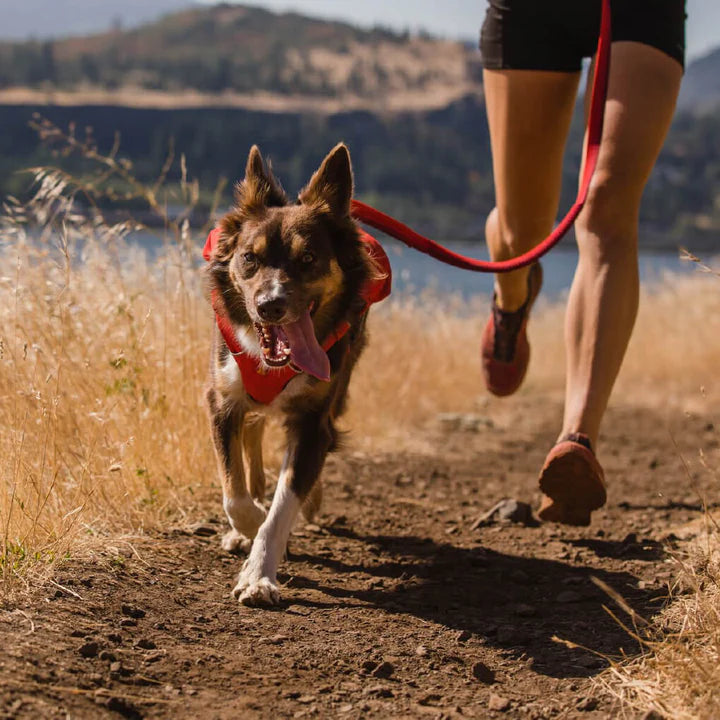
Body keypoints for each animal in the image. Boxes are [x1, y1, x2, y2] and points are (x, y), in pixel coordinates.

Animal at [205, 143, 390, 604]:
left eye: (308, 259)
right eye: (249, 258)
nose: (270, 305)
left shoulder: (311, 419)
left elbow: (283, 504)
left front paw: (259, 574)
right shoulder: (221, 399)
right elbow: (234, 490)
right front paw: (248, 526)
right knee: (252, 437)